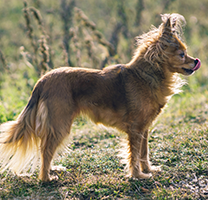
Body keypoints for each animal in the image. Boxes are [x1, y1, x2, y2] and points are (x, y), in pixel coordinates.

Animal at [0, 12, 202, 181]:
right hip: (60, 124)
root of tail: (42, 80)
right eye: (182, 54)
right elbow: (134, 155)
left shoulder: (144, 129)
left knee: (46, 149)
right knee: (46, 151)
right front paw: (138, 176)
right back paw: (46, 178)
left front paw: (149, 170)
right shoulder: (135, 129)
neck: (146, 76)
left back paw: (51, 171)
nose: (195, 62)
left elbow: (144, 153)